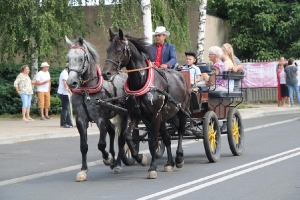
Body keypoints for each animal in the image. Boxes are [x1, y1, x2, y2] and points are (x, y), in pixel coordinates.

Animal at [65, 36, 127, 181]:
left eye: (81, 58)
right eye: (68, 58)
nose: (71, 82)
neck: (86, 91)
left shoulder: (100, 118)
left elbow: (101, 144)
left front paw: (107, 158)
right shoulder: (81, 120)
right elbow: (83, 146)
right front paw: (83, 170)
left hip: (124, 115)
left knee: (122, 138)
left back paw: (117, 164)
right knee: (112, 130)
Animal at [101, 28, 190, 179]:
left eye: (118, 51)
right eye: (108, 49)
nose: (105, 73)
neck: (141, 82)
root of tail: (180, 77)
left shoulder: (155, 115)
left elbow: (153, 142)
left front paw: (152, 167)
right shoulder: (134, 114)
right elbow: (127, 135)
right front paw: (140, 158)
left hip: (181, 111)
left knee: (181, 131)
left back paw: (178, 158)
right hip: (163, 117)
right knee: (166, 137)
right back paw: (169, 163)